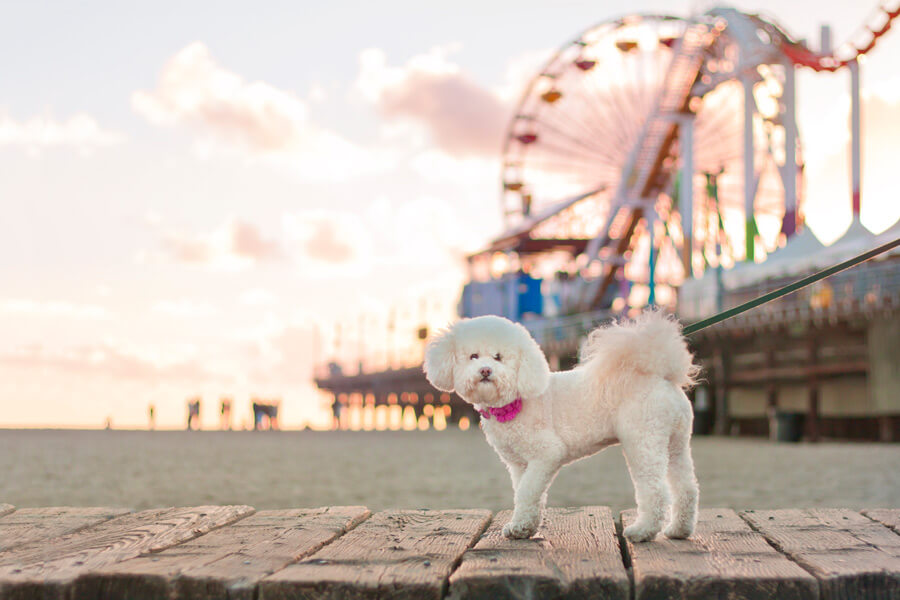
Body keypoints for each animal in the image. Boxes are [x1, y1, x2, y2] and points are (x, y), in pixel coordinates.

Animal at [426, 312, 700, 540]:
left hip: (643, 441)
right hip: (675, 443)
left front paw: (520, 526)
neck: (513, 402)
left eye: (498, 357)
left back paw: (642, 531)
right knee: (686, 488)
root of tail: (660, 376)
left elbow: (527, 491)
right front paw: (524, 527)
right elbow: (528, 493)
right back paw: (678, 530)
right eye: (473, 356)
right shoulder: (520, 464)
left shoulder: (547, 454)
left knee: (655, 491)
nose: (485, 370)